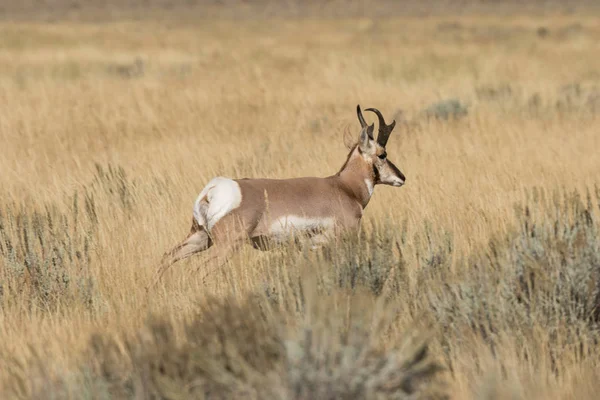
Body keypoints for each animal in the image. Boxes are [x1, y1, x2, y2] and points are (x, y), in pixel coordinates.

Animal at [148, 104, 406, 290]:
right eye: (382, 154)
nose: (401, 177)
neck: (343, 186)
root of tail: (214, 188)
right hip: (226, 246)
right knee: (198, 270)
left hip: (200, 238)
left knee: (166, 258)